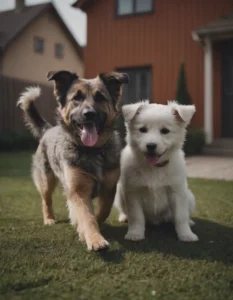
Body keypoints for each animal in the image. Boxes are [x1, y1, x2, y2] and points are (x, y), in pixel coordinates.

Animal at [114, 102, 198, 243]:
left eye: (165, 131)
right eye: (143, 129)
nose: (151, 145)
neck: (154, 168)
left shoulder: (177, 192)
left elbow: (181, 216)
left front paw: (186, 234)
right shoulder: (133, 193)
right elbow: (136, 216)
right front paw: (135, 233)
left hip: (189, 196)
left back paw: (190, 222)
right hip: (120, 195)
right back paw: (124, 217)